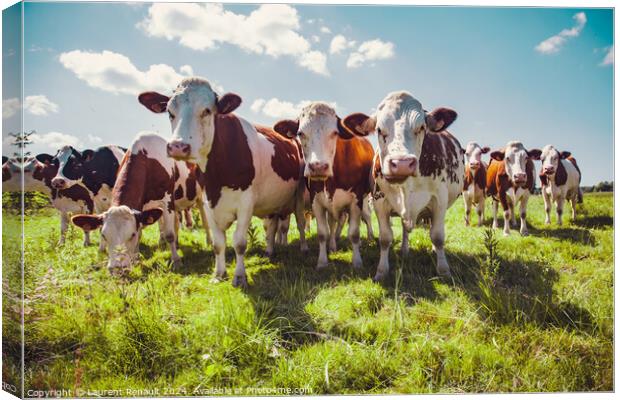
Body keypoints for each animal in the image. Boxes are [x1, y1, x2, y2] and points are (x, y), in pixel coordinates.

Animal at [71, 133, 209, 274]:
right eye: (103, 235)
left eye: (132, 234)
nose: (117, 269)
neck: (146, 158)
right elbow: (143, 232)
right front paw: (136, 259)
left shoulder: (167, 201)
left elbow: (169, 234)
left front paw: (176, 261)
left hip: (200, 197)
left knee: (204, 220)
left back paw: (209, 241)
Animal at [138, 76, 308, 288]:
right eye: (170, 112)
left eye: (207, 110)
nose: (178, 146)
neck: (216, 177)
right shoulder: (207, 202)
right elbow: (218, 243)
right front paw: (219, 273)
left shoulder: (245, 203)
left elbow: (239, 243)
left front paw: (240, 276)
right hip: (272, 201)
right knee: (271, 226)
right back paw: (269, 251)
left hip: (299, 195)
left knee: (300, 222)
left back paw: (303, 248)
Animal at [274, 101, 372, 268]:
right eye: (300, 133)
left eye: (335, 133)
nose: (318, 166)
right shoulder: (317, 201)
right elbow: (322, 233)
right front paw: (322, 261)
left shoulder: (356, 201)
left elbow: (354, 233)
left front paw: (357, 262)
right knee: (333, 224)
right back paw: (332, 244)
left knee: (363, 217)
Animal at [340, 91, 464, 280]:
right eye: (379, 129)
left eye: (422, 127)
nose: (402, 163)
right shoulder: (379, 202)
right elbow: (385, 238)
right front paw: (381, 271)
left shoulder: (439, 200)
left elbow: (437, 236)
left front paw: (444, 270)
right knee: (406, 228)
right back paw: (405, 250)